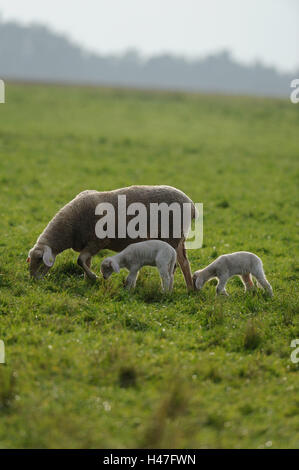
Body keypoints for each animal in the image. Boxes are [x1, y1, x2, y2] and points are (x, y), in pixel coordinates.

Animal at [27, 185, 197, 288]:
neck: (70, 227)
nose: (33, 279)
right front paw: (87, 281)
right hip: (179, 240)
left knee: (173, 266)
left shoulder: (97, 241)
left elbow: (80, 260)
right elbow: (86, 261)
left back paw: (169, 289)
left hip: (172, 237)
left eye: (39, 259)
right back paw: (190, 289)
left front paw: (93, 277)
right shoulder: (88, 244)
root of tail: (191, 204)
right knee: (184, 262)